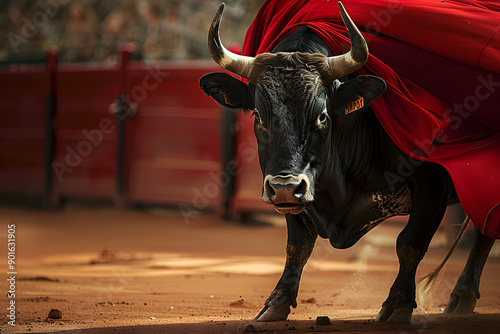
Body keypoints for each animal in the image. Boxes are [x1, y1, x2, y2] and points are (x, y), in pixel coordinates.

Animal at [198, 1, 492, 320]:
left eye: (323, 116)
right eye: (257, 115)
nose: (286, 187)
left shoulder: (432, 182)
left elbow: (410, 243)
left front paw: (398, 304)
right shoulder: (294, 193)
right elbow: (297, 245)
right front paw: (277, 302)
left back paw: (462, 296)